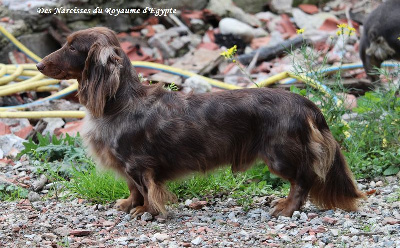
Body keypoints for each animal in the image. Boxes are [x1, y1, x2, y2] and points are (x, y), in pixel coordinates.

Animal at [36, 26, 366, 217]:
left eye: (72, 47)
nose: (38, 65)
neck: (121, 103)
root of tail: (305, 103)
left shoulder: (139, 165)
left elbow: (145, 189)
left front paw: (146, 211)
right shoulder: (128, 168)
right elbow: (133, 189)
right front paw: (130, 205)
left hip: (280, 154)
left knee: (304, 179)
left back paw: (286, 208)